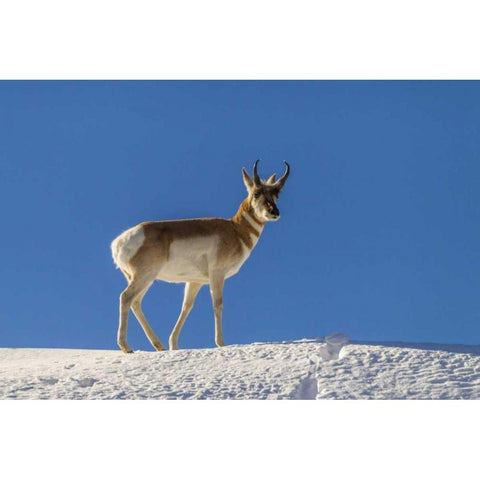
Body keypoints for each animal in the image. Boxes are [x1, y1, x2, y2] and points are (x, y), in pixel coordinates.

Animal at [109, 161, 288, 352]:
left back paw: (159, 346)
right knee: (126, 297)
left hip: (145, 279)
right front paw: (221, 343)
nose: (274, 213)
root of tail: (118, 243)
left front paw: (174, 344)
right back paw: (126, 346)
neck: (235, 230)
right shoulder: (217, 274)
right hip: (144, 276)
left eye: (276, 194)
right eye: (256, 193)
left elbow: (186, 307)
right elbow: (218, 303)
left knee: (136, 302)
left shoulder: (195, 281)